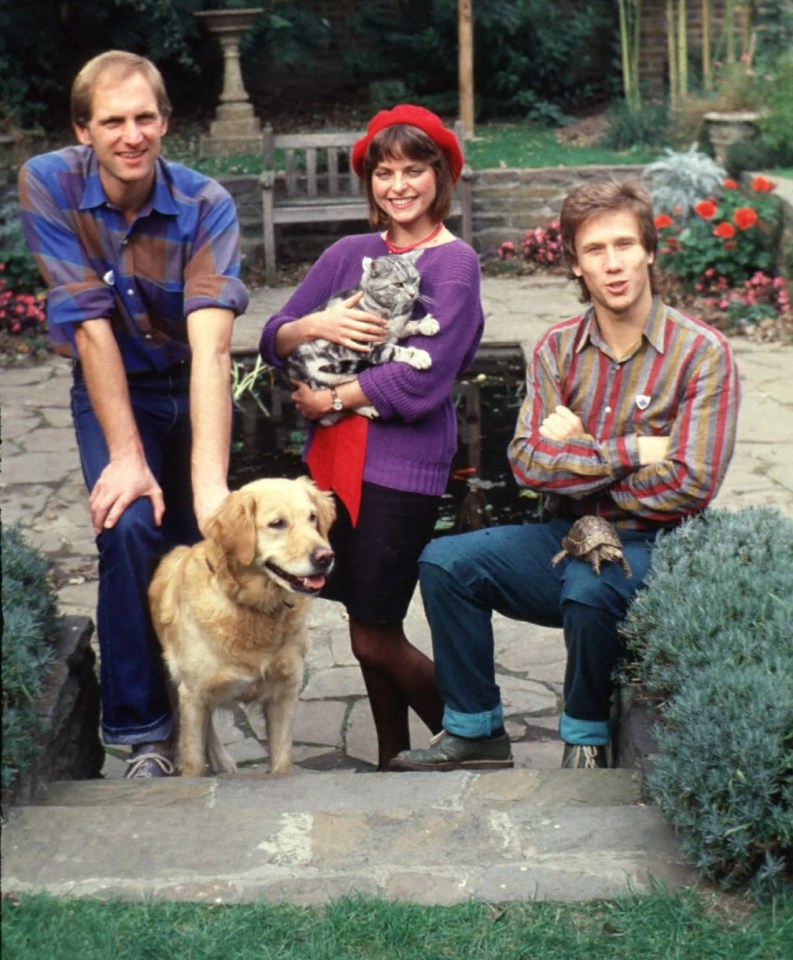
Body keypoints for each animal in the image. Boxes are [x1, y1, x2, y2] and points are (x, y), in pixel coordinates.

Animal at [284, 251, 436, 424]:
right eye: (398, 285)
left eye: (415, 279)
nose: (413, 294)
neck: (390, 310)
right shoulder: (368, 344)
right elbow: (395, 350)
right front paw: (418, 356)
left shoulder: (397, 328)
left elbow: (407, 325)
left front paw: (426, 324)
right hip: (323, 372)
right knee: (335, 407)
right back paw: (367, 408)